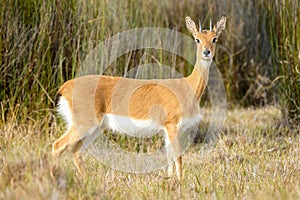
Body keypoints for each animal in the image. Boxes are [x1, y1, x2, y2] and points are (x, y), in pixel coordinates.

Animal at [52, 16, 225, 180]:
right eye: (197, 39)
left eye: (214, 38)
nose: (207, 52)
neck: (187, 87)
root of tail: (65, 87)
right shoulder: (171, 125)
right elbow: (178, 156)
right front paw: (181, 182)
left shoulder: (168, 129)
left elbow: (169, 157)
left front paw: (170, 179)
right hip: (84, 124)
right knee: (57, 145)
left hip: (97, 128)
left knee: (75, 150)